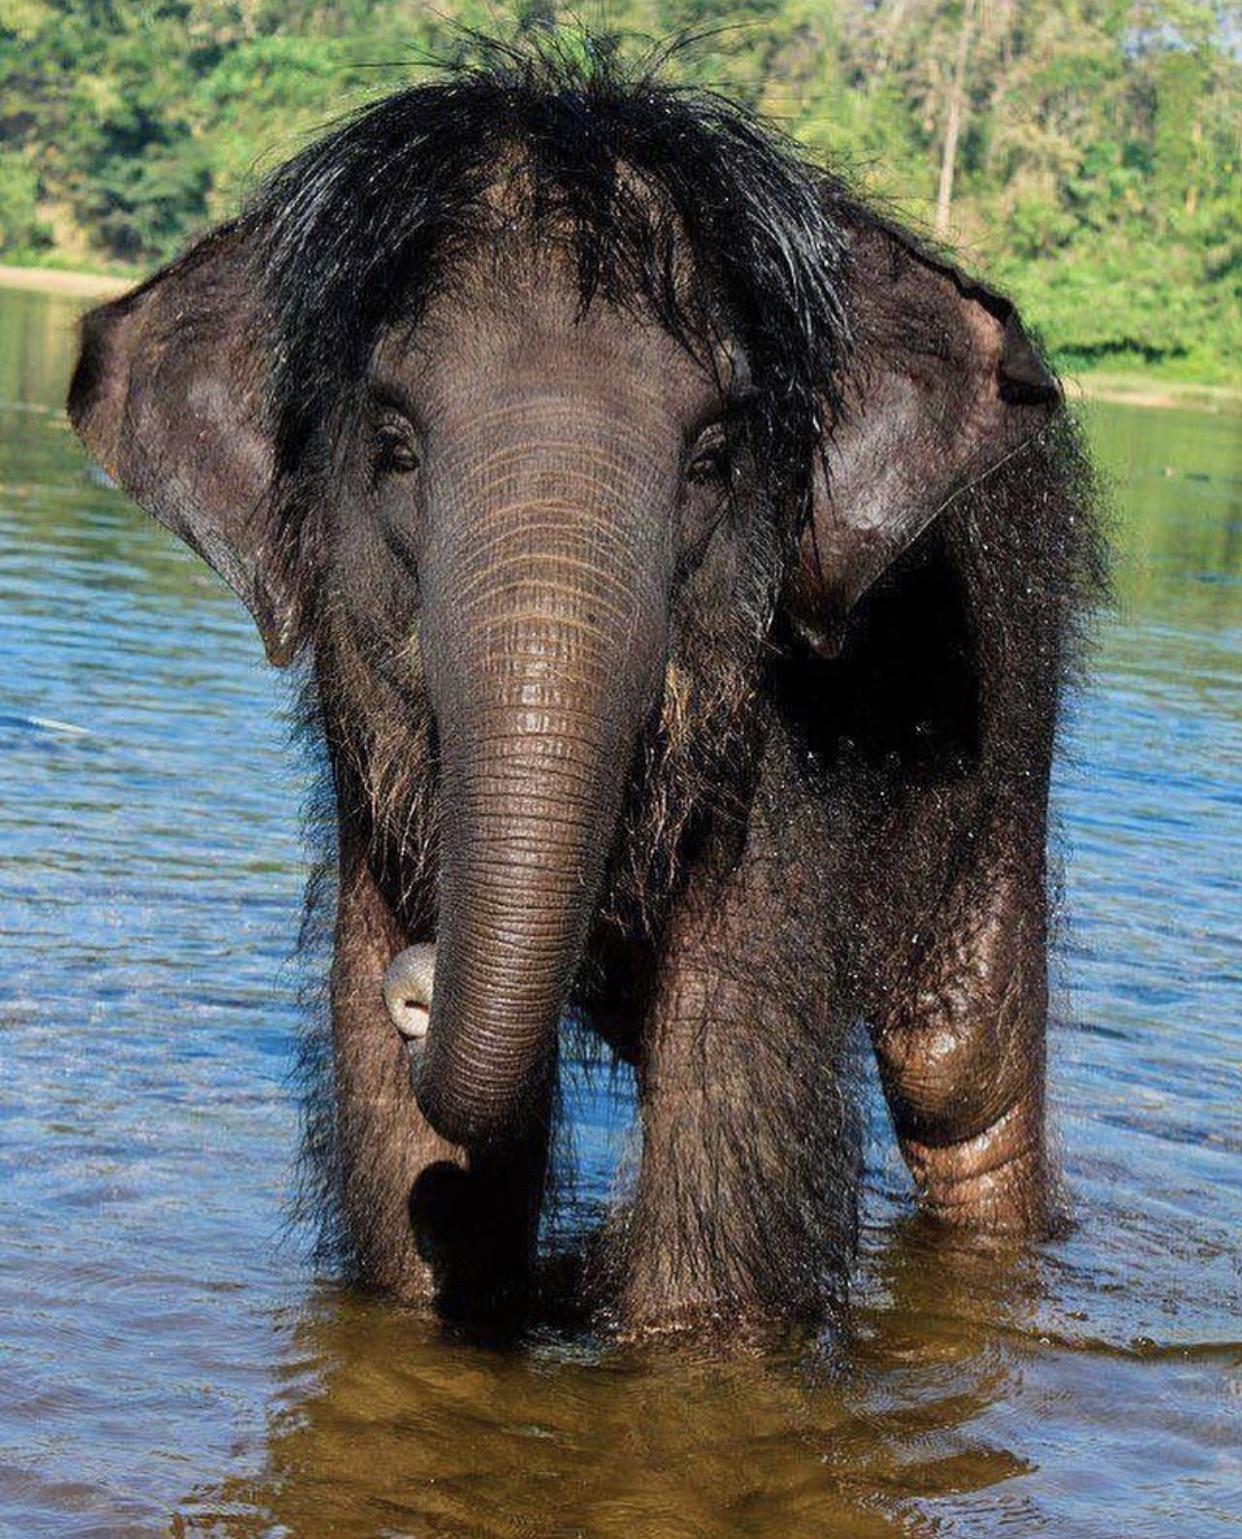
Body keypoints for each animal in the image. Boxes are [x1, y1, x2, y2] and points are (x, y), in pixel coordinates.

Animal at [68, 42, 1101, 1342]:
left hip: (1007, 740)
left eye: (713, 459)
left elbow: (717, 1211)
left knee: (960, 1078)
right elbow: (411, 1191)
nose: (420, 983)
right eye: (395, 449)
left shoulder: (795, 768)